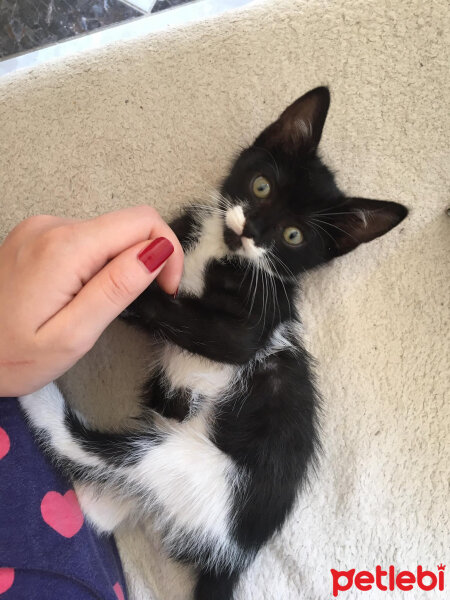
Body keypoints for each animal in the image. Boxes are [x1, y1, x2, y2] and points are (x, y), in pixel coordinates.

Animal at [20, 88, 408, 600]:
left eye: (293, 236)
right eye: (261, 187)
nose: (251, 231)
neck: (219, 251)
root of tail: (236, 555)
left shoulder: (258, 320)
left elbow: (195, 321)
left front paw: (120, 288)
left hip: (188, 468)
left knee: (84, 445)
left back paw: (36, 397)